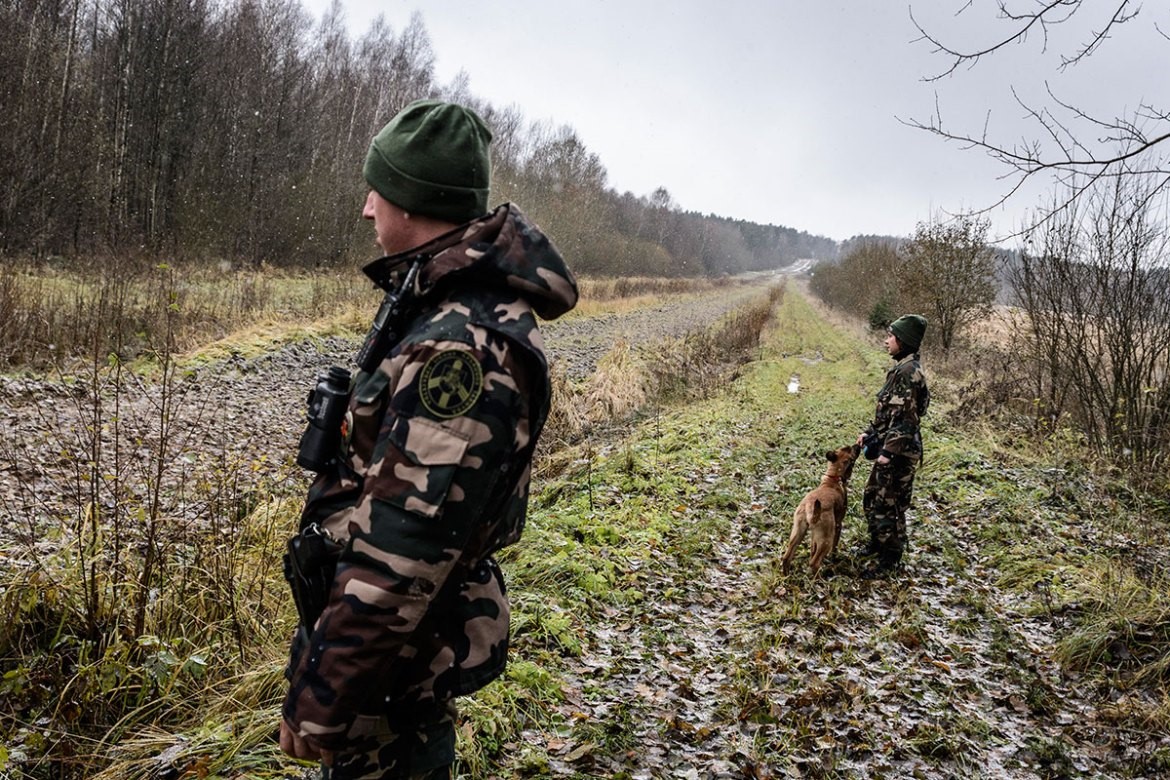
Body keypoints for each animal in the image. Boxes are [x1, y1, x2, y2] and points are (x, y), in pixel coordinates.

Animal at [786, 442, 861, 577]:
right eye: (849, 448)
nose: (858, 444)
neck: (834, 477)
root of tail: (809, 507)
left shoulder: (814, 535)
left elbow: (812, 548)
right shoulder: (838, 525)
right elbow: (834, 548)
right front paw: (834, 559)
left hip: (797, 533)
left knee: (787, 557)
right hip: (827, 538)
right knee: (814, 563)